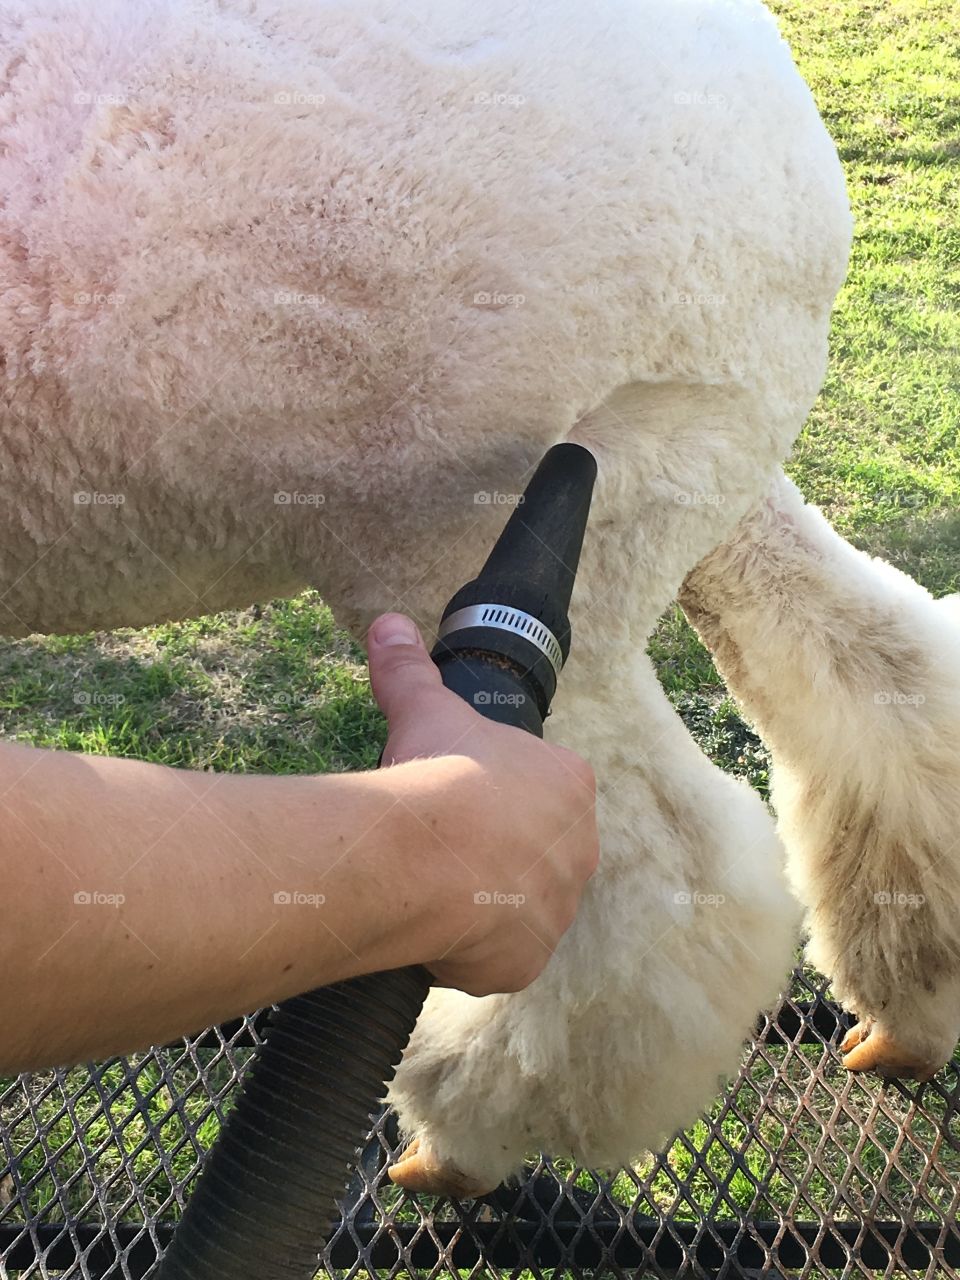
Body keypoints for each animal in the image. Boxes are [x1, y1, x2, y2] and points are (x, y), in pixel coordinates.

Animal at [3, 0, 957, 1203]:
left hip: (494, 538)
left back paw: (460, 1134)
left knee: (661, 872)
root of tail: (781, 145)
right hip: (694, 461)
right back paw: (910, 1015)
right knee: (880, 677)